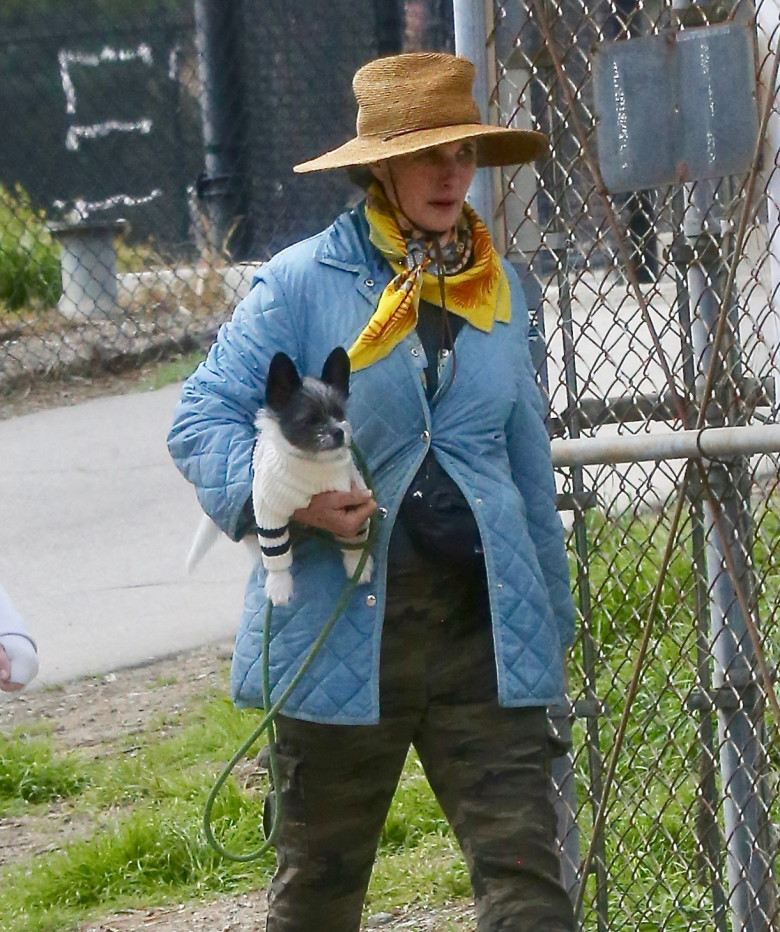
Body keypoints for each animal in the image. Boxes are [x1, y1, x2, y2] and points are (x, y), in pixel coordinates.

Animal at [187, 348, 374, 604]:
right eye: (311, 420)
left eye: (340, 414)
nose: (339, 431)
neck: (311, 464)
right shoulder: (269, 515)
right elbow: (275, 553)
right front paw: (279, 585)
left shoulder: (353, 501)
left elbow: (354, 538)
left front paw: (358, 565)